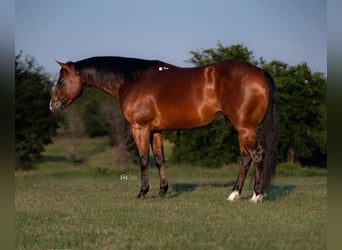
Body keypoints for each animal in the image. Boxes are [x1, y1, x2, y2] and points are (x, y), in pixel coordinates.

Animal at [49, 56, 276, 203]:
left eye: (61, 81)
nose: (52, 106)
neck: (133, 79)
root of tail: (260, 72)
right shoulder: (156, 131)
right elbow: (159, 159)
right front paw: (161, 192)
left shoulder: (139, 129)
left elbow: (143, 160)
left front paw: (142, 193)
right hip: (242, 128)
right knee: (245, 158)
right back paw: (234, 194)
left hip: (245, 128)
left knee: (257, 155)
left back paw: (256, 195)